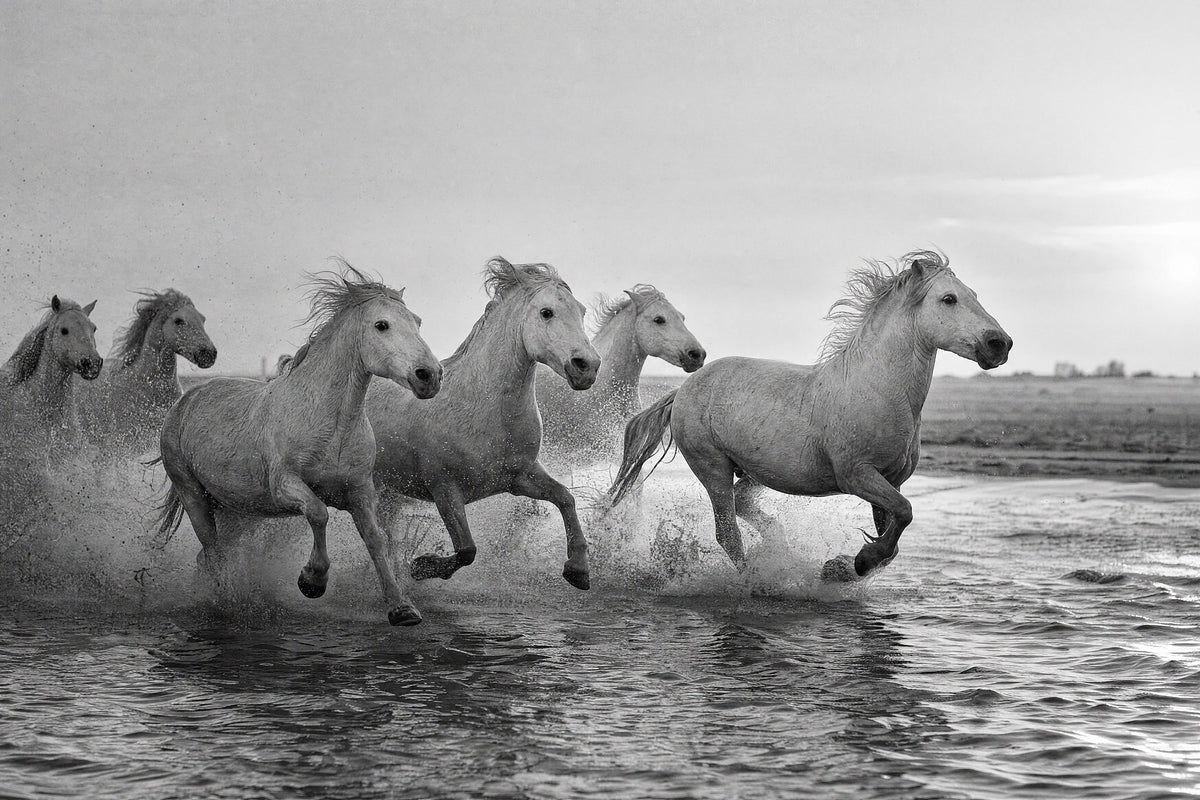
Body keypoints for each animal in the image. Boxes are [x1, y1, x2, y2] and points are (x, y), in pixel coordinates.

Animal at [156, 264, 442, 626]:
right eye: (382, 325)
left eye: (417, 321)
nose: (429, 375)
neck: (330, 425)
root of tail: (185, 400)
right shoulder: (285, 486)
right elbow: (319, 514)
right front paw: (312, 581)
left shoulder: (360, 490)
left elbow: (376, 539)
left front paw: (402, 608)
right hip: (192, 493)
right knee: (212, 549)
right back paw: (226, 604)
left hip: (241, 511)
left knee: (208, 556)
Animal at [365, 256, 601, 589]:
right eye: (547, 312)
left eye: (581, 311)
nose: (587, 367)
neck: (486, 411)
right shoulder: (444, 489)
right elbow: (467, 549)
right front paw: (422, 567)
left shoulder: (520, 477)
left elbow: (566, 498)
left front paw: (578, 569)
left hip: (388, 491)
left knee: (386, 530)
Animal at [606, 251, 1012, 581]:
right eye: (949, 299)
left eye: (974, 295)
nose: (1000, 344)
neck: (878, 389)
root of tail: (682, 391)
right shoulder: (857, 474)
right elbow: (906, 513)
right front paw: (855, 563)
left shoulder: (890, 480)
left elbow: (894, 533)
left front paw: (843, 568)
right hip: (712, 467)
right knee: (727, 533)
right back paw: (756, 582)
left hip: (756, 470)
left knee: (742, 504)